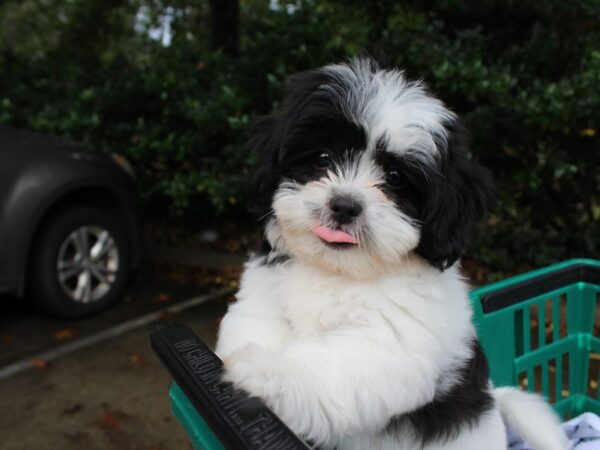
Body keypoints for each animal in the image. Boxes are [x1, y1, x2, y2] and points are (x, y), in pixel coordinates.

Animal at [217, 58, 568, 448]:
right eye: (322, 157)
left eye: (397, 178)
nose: (345, 205)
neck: (337, 270)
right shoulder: (264, 295)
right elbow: (255, 326)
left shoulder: (386, 344)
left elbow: (331, 367)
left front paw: (261, 371)